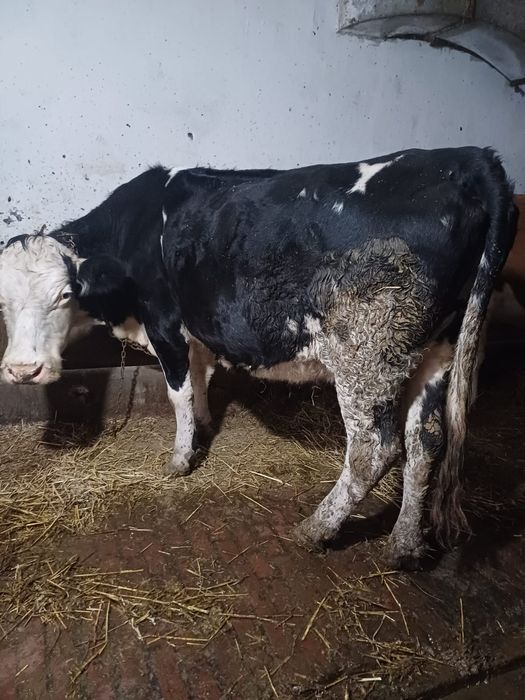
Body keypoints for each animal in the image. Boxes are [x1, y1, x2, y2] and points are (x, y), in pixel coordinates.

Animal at [0, 147, 517, 568]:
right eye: (2, 300)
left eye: (66, 294)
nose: (23, 370)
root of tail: (467, 158)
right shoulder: (197, 329)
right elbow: (202, 377)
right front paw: (205, 427)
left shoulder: (165, 323)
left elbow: (179, 393)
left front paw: (181, 458)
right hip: (436, 351)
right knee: (425, 442)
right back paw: (404, 545)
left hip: (367, 355)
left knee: (374, 449)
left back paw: (316, 529)